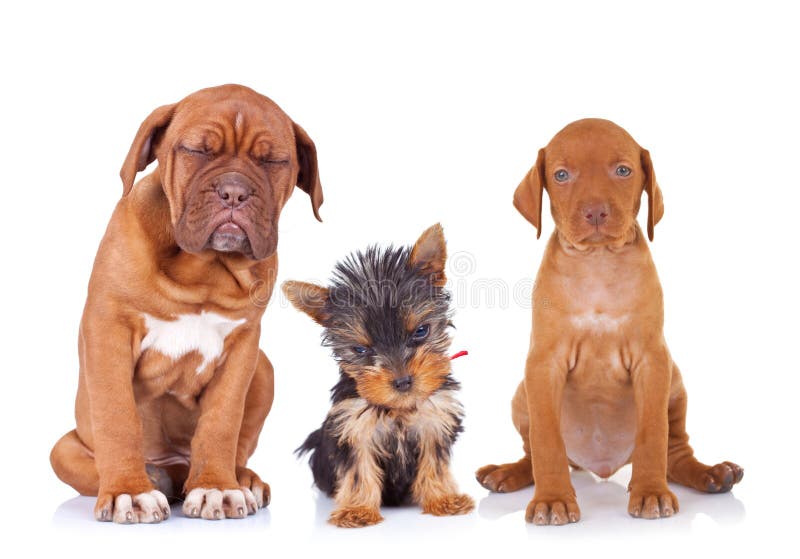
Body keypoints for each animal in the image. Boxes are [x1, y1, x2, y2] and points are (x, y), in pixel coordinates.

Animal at [50, 84, 322, 524]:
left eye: (273, 161)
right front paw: (129, 491)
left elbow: (222, 422)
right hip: (63, 448)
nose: (234, 191)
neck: (204, 268)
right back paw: (153, 477)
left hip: (264, 368)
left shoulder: (244, 347)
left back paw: (239, 479)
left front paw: (217, 486)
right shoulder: (108, 328)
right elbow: (117, 416)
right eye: (197, 151)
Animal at [282, 224, 472, 528]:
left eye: (421, 331)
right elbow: (358, 470)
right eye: (360, 349)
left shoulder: (435, 421)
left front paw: (443, 498)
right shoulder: (353, 426)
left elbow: (435, 462)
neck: (399, 408)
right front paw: (357, 509)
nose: (403, 381)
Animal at [476, 120, 744, 528]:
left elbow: (652, 435)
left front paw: (650, 492)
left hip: (675, 384)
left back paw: (713, 474)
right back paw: (508, 472)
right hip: (521, 394)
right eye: (561, 175)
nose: (596, 212)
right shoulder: (543, 365)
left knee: (675, 452)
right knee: (533, 452)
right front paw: (552, 499)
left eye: (623, 170)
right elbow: (546, 441)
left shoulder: (653, 361)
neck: (598, 263)